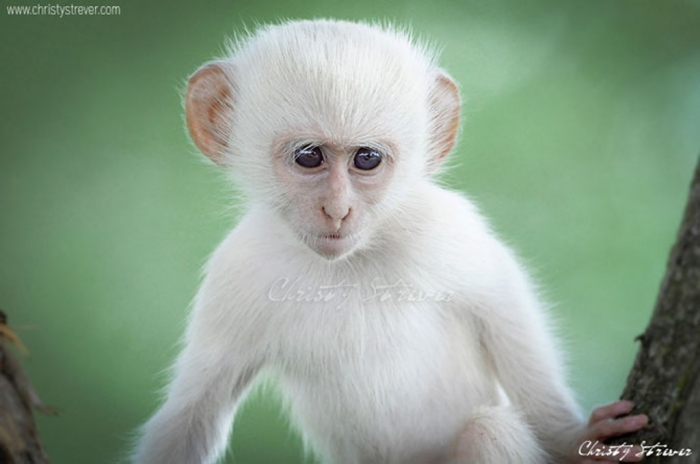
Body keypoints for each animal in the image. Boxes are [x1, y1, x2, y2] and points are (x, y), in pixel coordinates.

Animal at [133, 20, 648, 464]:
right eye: (308, 156)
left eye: (367, 159)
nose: (338, 209)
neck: (347, 263)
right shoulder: (236, 269)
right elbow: (192, 414)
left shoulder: (448, 227)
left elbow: (507, 316)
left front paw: (574, 440)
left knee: (490, 430)